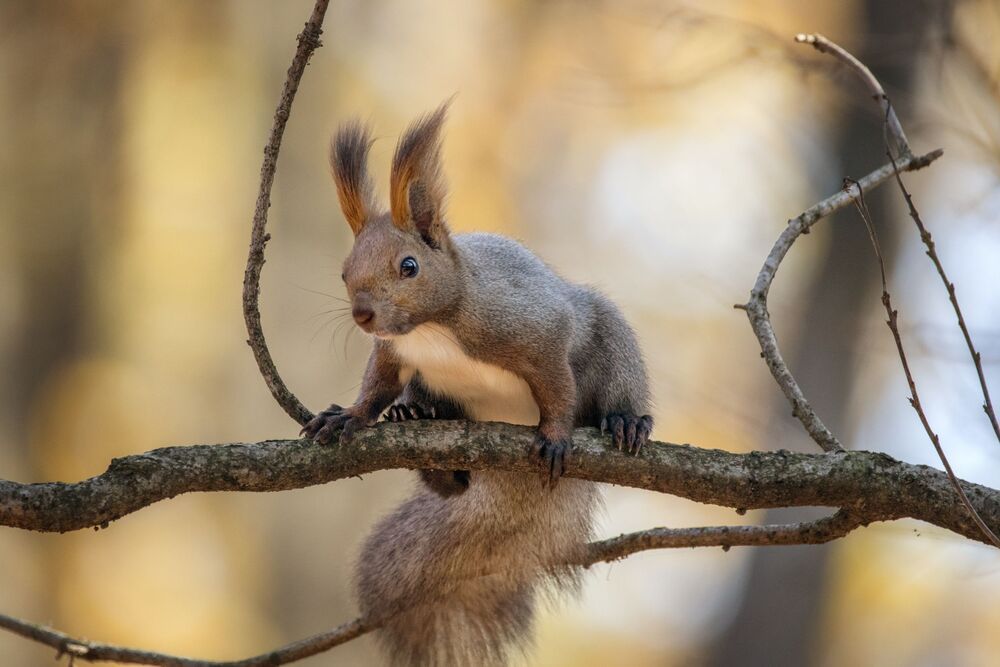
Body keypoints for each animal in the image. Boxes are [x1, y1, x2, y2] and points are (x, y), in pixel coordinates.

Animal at [302, 103, 653, 666]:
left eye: (409, 266)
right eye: (344, 272)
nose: (362, 315)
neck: (431, 328)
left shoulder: (534, 329)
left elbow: (556, 382)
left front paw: (556, 435)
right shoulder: (392, 353)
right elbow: (377, 388)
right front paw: (350, 416)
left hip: (609, 341)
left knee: (616, 382)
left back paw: (626, 421)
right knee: (449, 479)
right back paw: (420, 419)